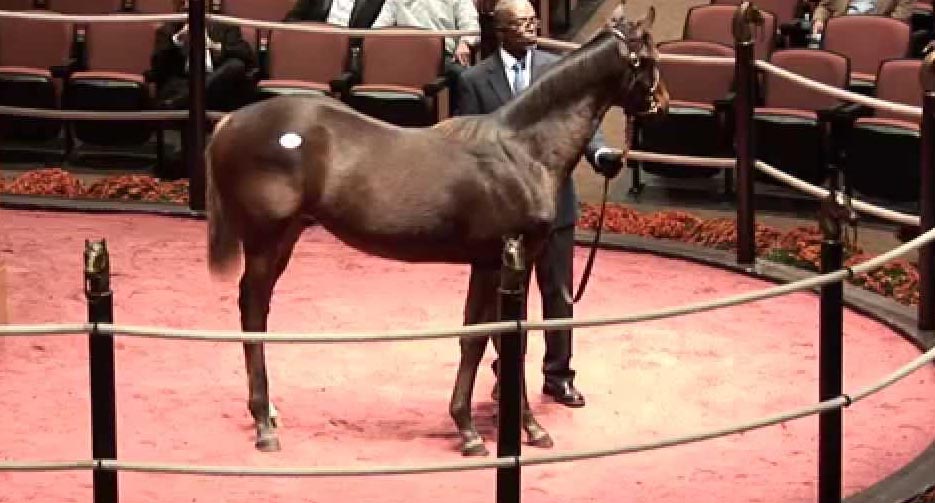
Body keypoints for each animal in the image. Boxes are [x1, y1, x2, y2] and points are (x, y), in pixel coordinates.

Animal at [205, 9, 669, 456]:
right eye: (647, 59)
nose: (662, 102)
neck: (523, 151)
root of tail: (231, 121)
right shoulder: (502, 261)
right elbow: (493, 341)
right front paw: (484, 430)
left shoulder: (492, 264)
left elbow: (489, 339)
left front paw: (499, 425)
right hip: (265, 240)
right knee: (252, 311)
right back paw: (264, 424)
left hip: (286, 238)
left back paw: (270, 413)